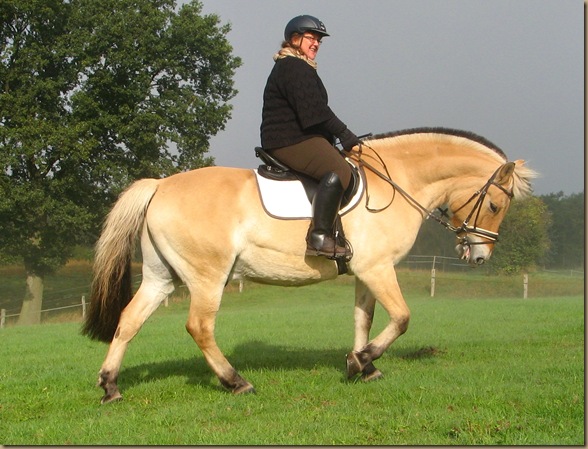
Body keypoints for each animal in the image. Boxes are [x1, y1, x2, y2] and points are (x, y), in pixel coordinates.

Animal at [82, 127, 537, 404]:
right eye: (495, 205)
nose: (479, 256)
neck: (396, 180)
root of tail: (159, 186)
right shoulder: (378, 268)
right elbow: (402, 318)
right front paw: (362, 360)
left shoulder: (366, 272)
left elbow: (363, 319)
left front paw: (363, 366)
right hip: (208, 277)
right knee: (200, 327)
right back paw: (236, 381)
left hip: (161, 276)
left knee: (129, 321)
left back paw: (110, 386)